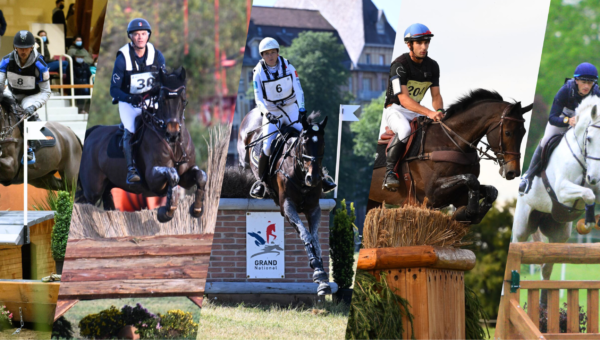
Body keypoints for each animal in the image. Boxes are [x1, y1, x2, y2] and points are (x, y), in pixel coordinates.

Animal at [77, 67, 206, 223]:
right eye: (162, 100)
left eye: (183, 99)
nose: (172, 133)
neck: (173, 145)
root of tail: (92, 132)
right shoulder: (153, 179)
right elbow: (172, 175)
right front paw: (166, 212)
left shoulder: (186, 177)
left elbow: (201, 176)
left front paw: (197, 209)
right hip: (92, 190)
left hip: (107, 187)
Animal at [238, 109, 332, 294]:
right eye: (304, 143)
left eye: (323, 144)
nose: (314, 178)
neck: (300, 173)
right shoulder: (287, 206)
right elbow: (305, 234)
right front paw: (317, 268)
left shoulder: (314, 208)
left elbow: (315, 238)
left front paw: (321, 274)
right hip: (243, 156)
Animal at [368, 89, 532, 224]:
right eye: (508, 133)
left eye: (524, 132)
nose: (513, 172)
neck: (452, 141)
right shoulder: (431, 195)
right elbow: (471, 180)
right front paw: (468, 213)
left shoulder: (458, 195)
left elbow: (490, 190)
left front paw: (468, 214)